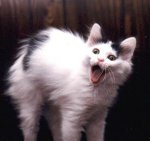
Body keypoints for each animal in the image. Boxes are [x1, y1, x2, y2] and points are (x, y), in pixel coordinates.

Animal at [6, 23, 136, 141]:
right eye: (96, 51)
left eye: (111, 58)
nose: (100, 59)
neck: (94, 88)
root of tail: (27, 47)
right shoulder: (72, 118)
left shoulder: (98, 117)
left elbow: (96, 138)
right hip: (29, 102)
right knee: (30, 128)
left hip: (54, 105)